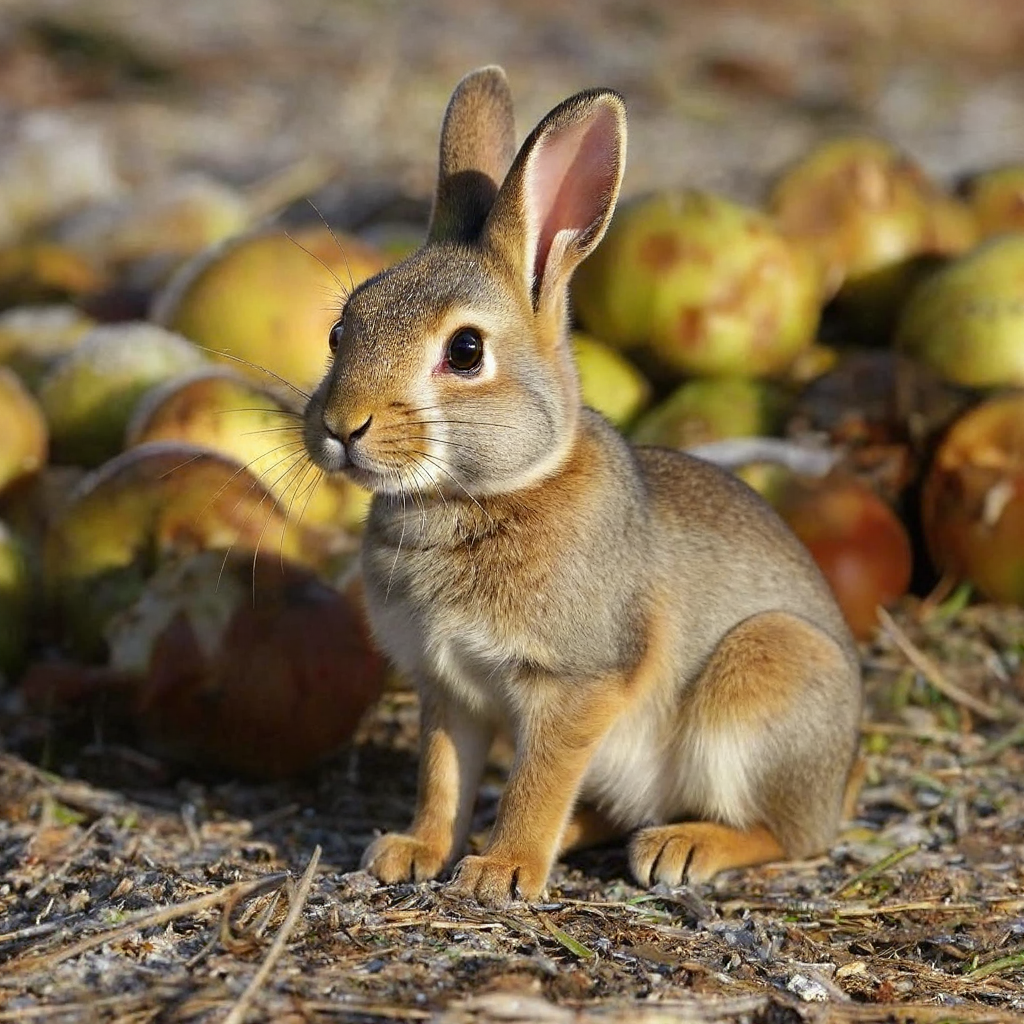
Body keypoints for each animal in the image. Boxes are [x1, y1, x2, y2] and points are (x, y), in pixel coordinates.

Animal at [302, 65, 862, 906]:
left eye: (465, 352)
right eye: (342, 329)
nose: (341, 426)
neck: (486, 495)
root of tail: (841, 779)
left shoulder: (576, 682)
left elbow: (539, 780)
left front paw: (502, 872)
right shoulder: (449, 690)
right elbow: (442, 778)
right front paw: (416, 853)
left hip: (765, 682)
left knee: (784, 835)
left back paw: (681, 849)